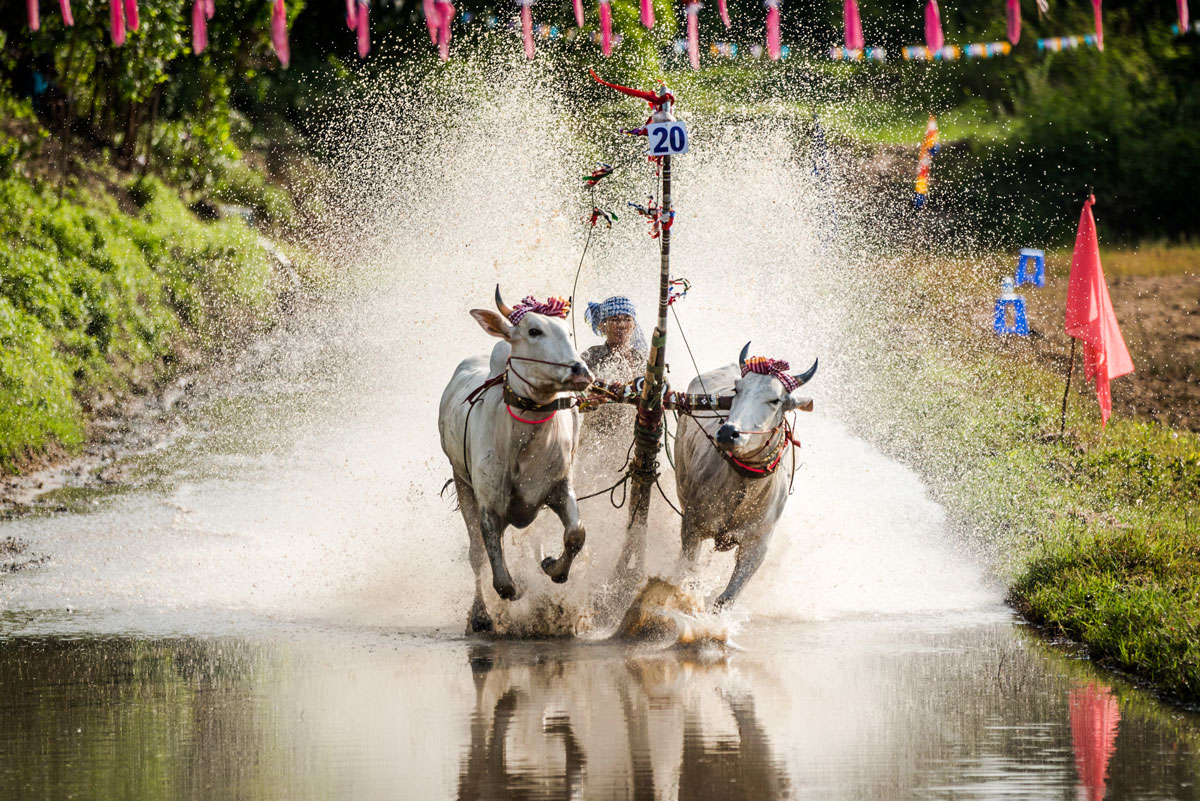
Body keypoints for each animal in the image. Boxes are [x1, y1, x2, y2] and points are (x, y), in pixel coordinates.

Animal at [439, 287, 592, 633]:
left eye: (568, 332)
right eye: (534, 331)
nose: (580, 370)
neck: (524, 439)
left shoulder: (560, 488)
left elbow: (575, 535)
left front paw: (554, 568)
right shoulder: (487, 503)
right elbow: (497, 573)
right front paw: (513, 589)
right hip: (461, 482)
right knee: (476, 555)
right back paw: (481, 616)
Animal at [676, 340, 816, 609]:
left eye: (775, 400)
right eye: (737, 389)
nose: (728, 433)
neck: (745, 486)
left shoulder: (757, 546)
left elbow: (726, 599)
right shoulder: (692, 525)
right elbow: (687, 575)